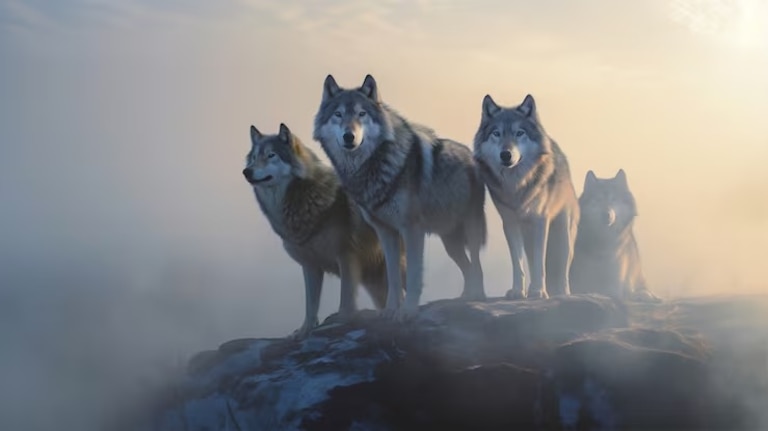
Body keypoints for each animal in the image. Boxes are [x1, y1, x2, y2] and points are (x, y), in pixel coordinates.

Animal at [242, 123, 405, 338]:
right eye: (253, 158)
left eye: (271, 155)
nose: (246, 171)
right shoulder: (310, 265)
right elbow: (310, 304)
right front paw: (305, 330)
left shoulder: (346, 256)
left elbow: (346, 295)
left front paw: (343, 318)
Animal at [313, 74, 488, 321]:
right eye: (338, 114)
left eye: (361, 114)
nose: (349, 136)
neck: (373, 167)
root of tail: (470, 154)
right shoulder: (386, 232)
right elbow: (393, 277)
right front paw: (389, 310)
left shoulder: (411, 229)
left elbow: (413, 275)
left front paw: (408, 311)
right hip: (450, 243)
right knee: (467, 266)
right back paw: (465, 296)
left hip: (470, 230)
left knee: (477, 264)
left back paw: (478, 296)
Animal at [473, 94, 579, 300]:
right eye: (496, 133)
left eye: (519, 133)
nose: (506, 154)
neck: (517, 185)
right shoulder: (510, 223)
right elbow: (518, 264)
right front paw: (517, 291)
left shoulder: (540, 221)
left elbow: (539, 263)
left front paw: (539, 291)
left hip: (563, 234)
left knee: (563, 268)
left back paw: (562, 292)